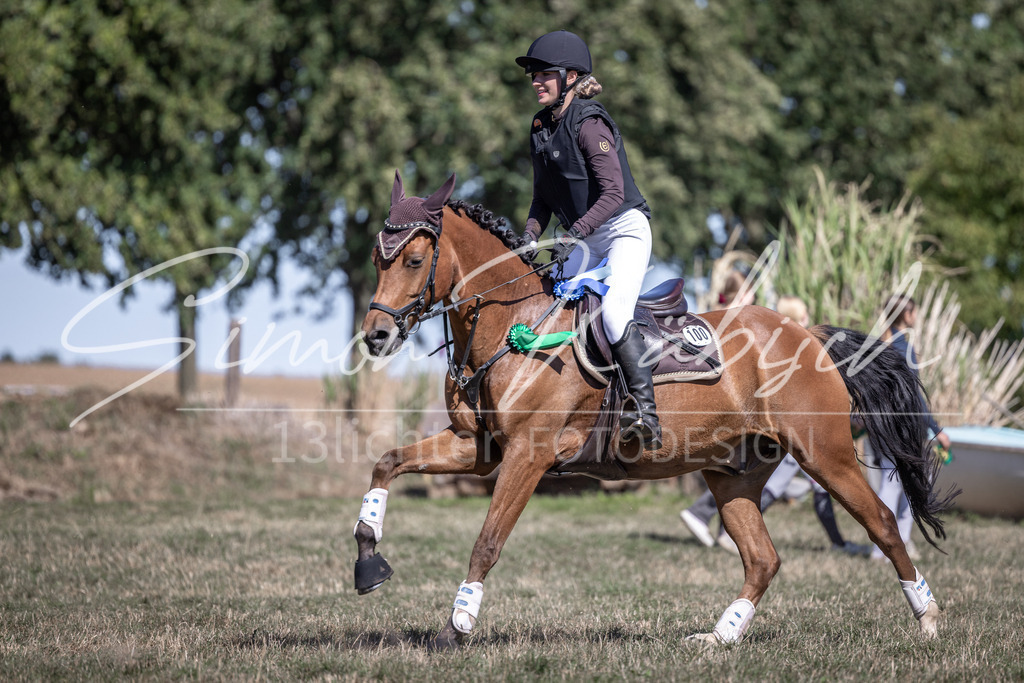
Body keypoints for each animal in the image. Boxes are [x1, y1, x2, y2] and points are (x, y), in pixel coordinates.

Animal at [353, 171, 957, 649]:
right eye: (376, 260)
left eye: (413, 259)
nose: (376, 336)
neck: (512, 325)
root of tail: (808, 335)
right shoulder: (477, 450)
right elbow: (387, 462)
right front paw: (367, 558)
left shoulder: (526, 455)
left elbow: (487, 541)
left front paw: (458, 623)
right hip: (732, 472)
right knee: (762, 558)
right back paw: (720, 637)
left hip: (824, 455)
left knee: (883, 524)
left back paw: (928, 618)